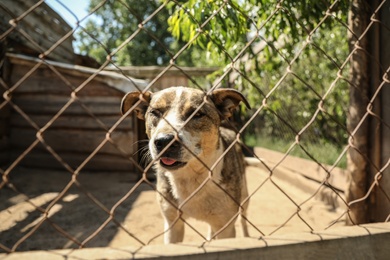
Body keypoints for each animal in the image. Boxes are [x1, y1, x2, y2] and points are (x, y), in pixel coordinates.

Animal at [120, 87, 251, 244]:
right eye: (155, 112)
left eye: (197, 114)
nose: (164, 141)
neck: (191, 177)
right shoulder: (172, 224)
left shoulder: (226, 227)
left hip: (244, 198)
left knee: (243, 219)